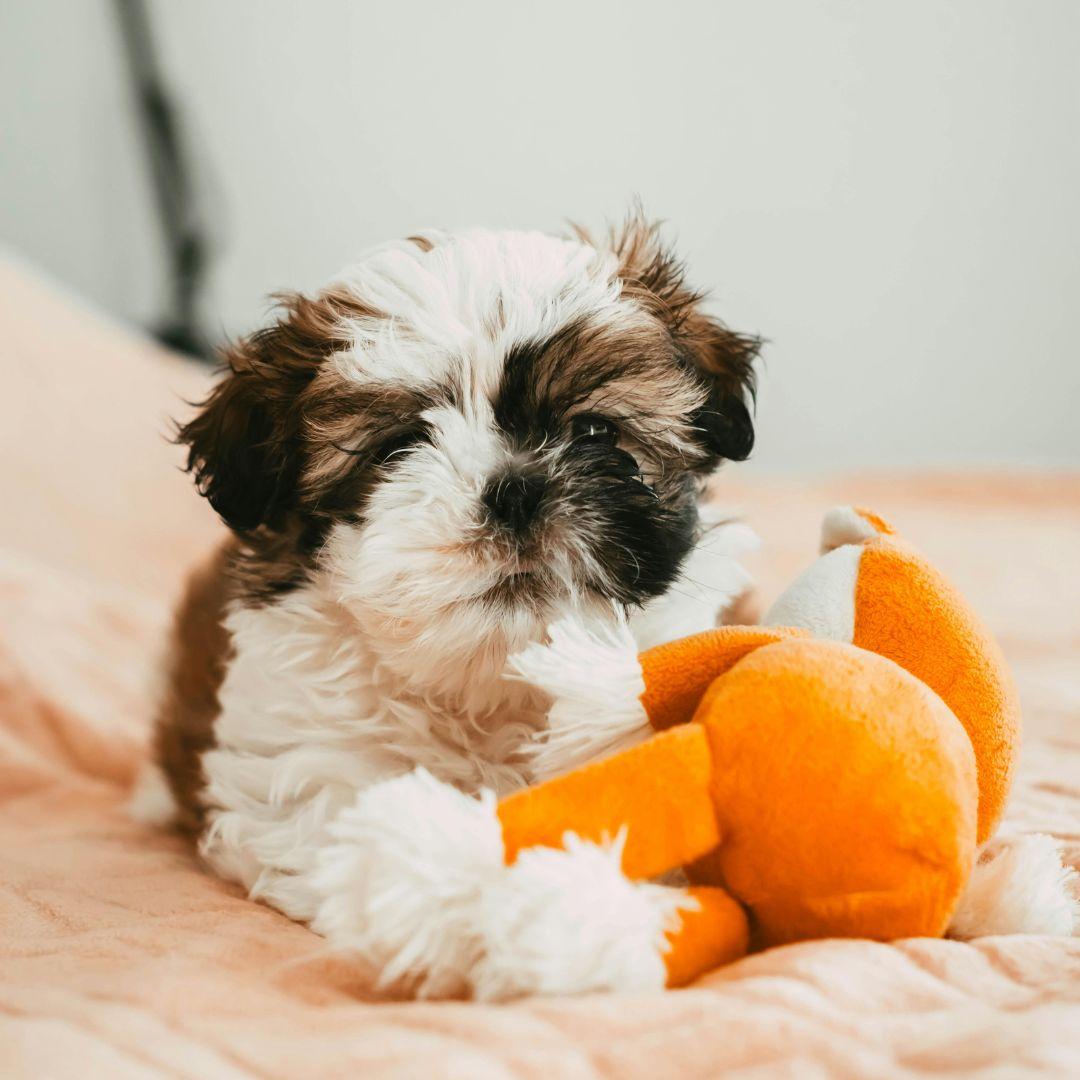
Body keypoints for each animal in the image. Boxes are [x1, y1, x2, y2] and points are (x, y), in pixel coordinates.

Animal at [132, 214, 760, 997]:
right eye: (401, 445)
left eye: (595, 433)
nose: (515, 488)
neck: (490, 687)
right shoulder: (313, 774)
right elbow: (387, 847)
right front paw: (522, 916)